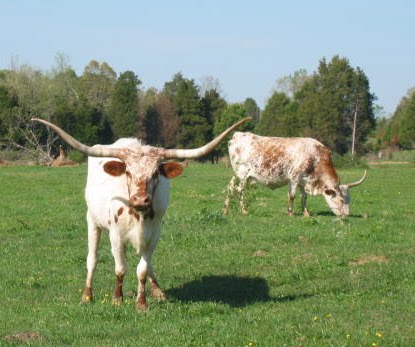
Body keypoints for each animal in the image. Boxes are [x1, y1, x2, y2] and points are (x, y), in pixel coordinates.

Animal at [31, 117, 250, 312]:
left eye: (155, 173)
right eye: (128, 172)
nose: (140, 200)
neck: (139, 216)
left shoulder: (153, 235)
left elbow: (143, 269)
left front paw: (142, 303)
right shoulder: (116, 236)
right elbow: (120, 268)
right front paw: (117, 299)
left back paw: (158, 292)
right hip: (92, 221)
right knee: (92, 259)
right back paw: (87, 295)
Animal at [224, 133, 368, 218]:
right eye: (342, 200)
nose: (346, 215)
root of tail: (238, 135)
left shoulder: (303, 181)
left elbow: (304, 197)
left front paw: (306, 213)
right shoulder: (294, 178)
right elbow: (292, 196)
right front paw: (290, 212)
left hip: (237, 175)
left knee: (231, 188)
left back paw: (225, 210)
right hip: (243, 175)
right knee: (240, 190)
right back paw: (244, 210)